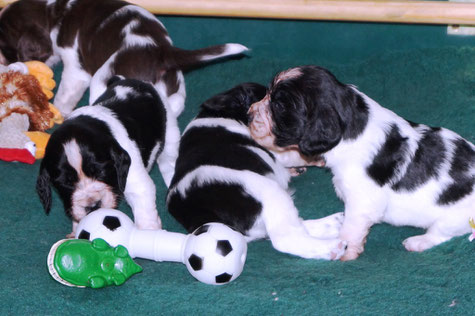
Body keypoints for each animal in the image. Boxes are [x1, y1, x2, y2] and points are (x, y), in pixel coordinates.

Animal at [0, 0, 251, 118]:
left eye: (5, 45)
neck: (54, 10)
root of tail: (162, 50)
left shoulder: (76, 69)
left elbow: (65, 95)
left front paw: (57, 112)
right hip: (174, 88)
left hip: (103, 77)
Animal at [37, 76, 171, 235]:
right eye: (66, 183)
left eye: (101, 172)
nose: (93, 206)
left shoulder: (136, 179)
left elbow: (144, 208)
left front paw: (148, 233)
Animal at [166, 82, 346, 260]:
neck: (221, 114)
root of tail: (197, 213)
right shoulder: (273, 150)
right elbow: (292, 154)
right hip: (270, 192)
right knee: (285, 237)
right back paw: (333, 247)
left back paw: (334, 223)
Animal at [249, 65, 475, 260]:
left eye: (278, 106)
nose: (249, 113)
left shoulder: (361, 203)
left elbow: (350, 229)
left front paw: (345, 252)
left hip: (452, 219)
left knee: (440, 234)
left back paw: (417, 242)